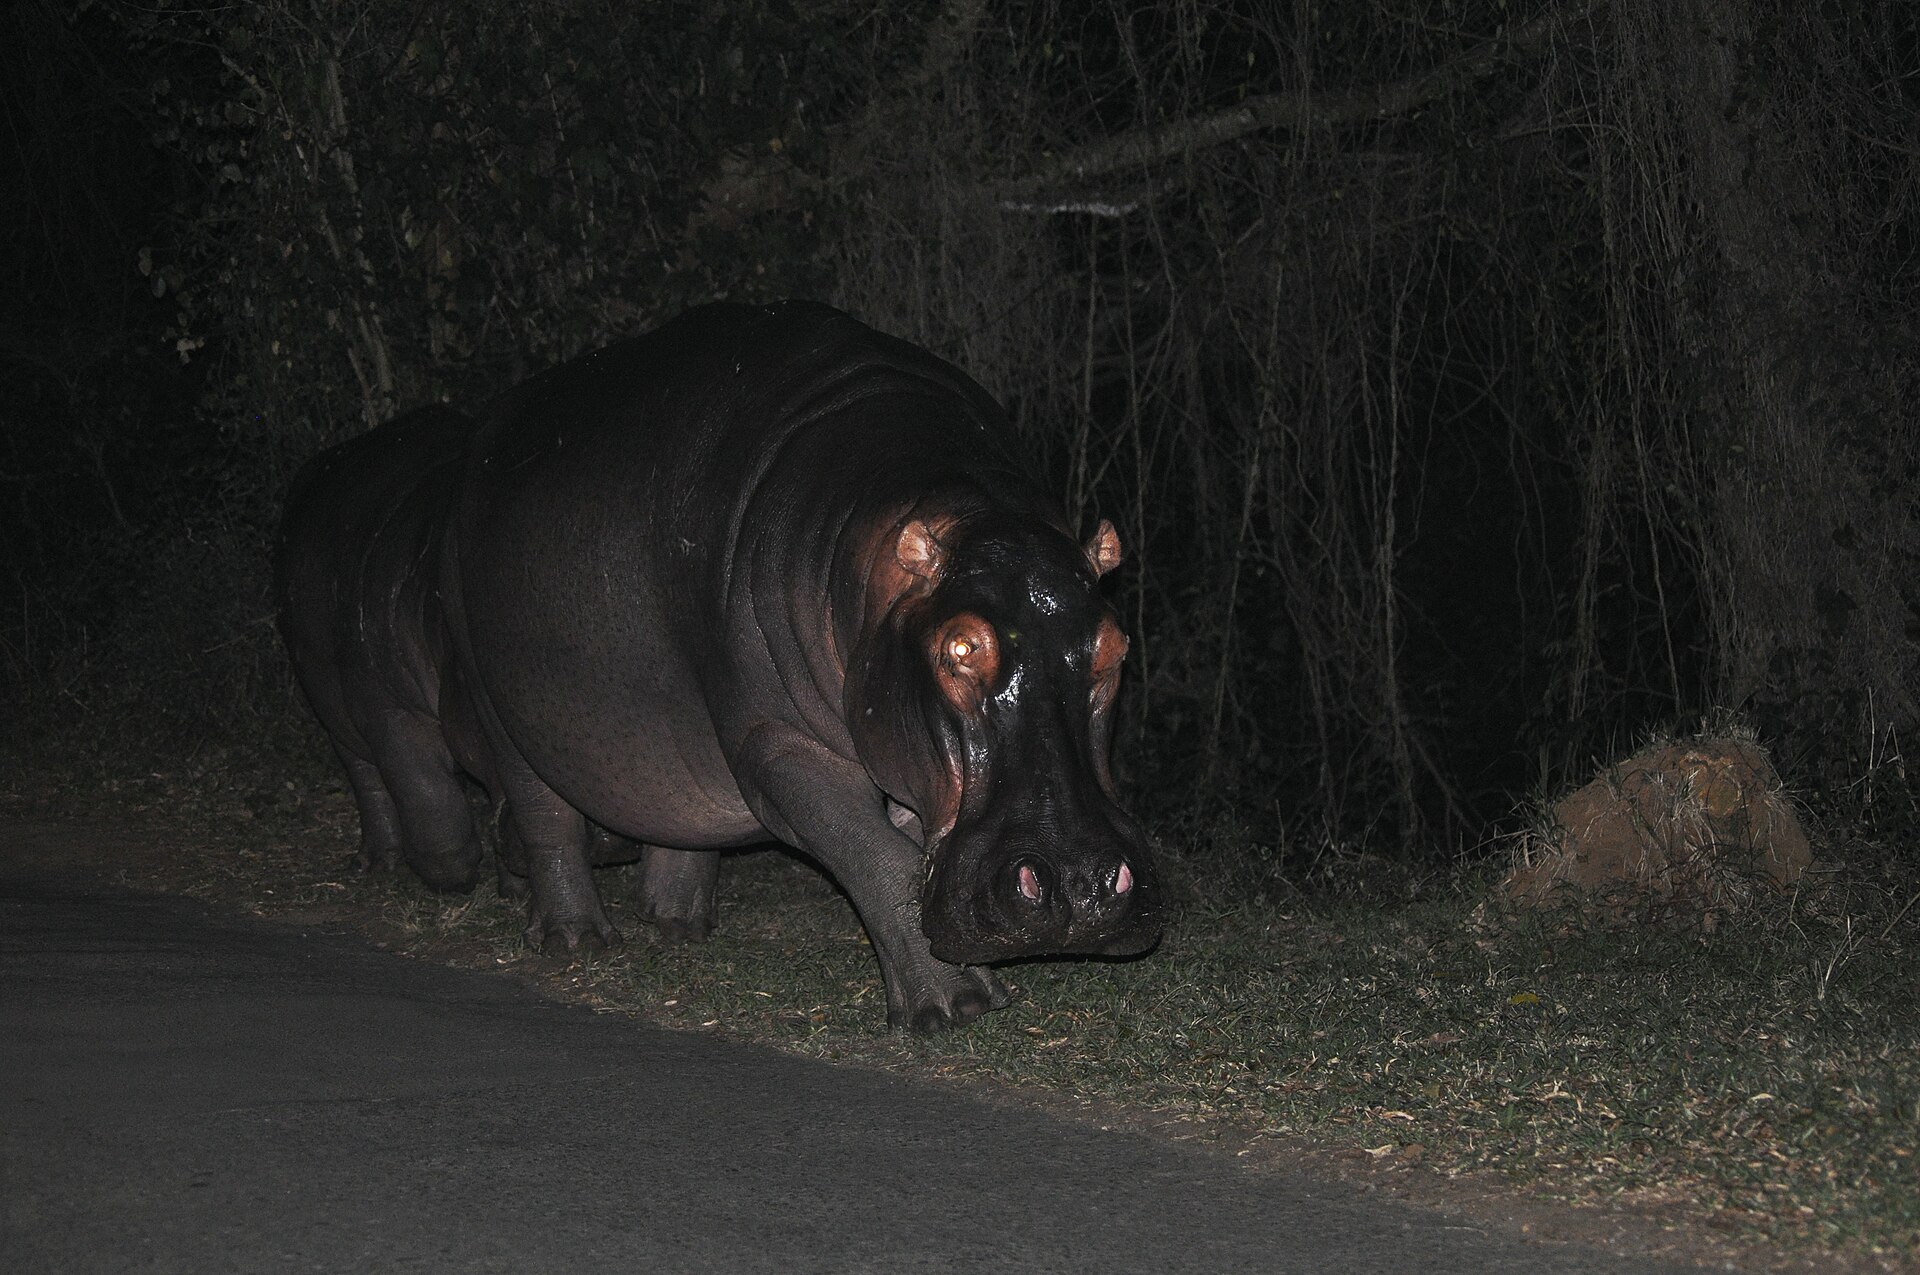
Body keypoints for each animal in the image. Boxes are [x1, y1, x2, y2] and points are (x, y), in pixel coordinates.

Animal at [444, 301, 1161, 1029]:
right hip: (500, 706)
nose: (1078, 886)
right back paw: (578, 942)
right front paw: (953, 1007)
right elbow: (876, 854)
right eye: (959, 648)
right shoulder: (777, 742)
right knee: (545, 816)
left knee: (676, 816)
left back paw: (677, 927)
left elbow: (906, 851)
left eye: (1116, 645)